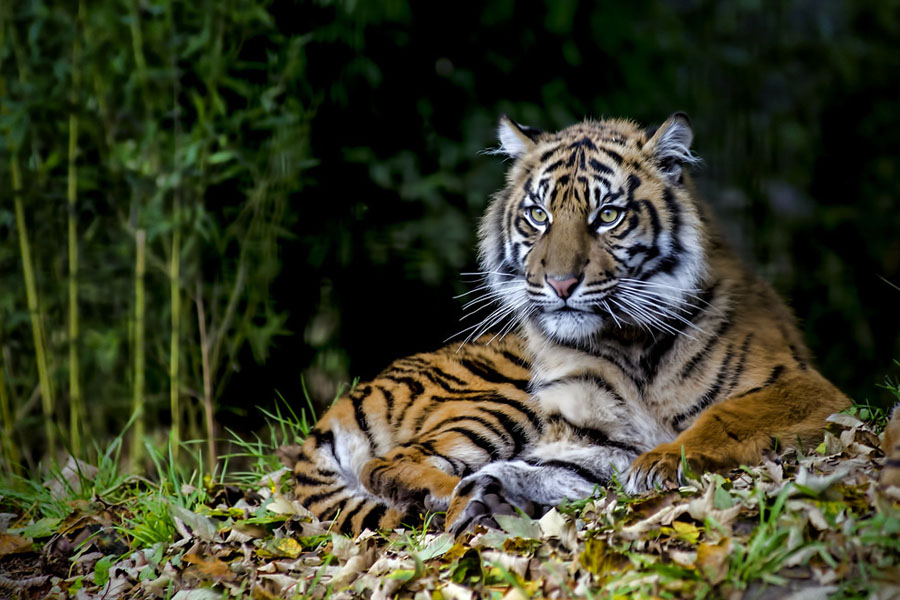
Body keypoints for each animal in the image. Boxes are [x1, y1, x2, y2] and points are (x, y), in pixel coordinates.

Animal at [442, 113, 851, 532]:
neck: (626, 343)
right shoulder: (603, 438)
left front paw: (662, 462)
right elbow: (556, 465)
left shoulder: (803, 388)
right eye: (539, 215)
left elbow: (725, 416)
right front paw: (480, 495)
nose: (561, 283)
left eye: (608, 215)